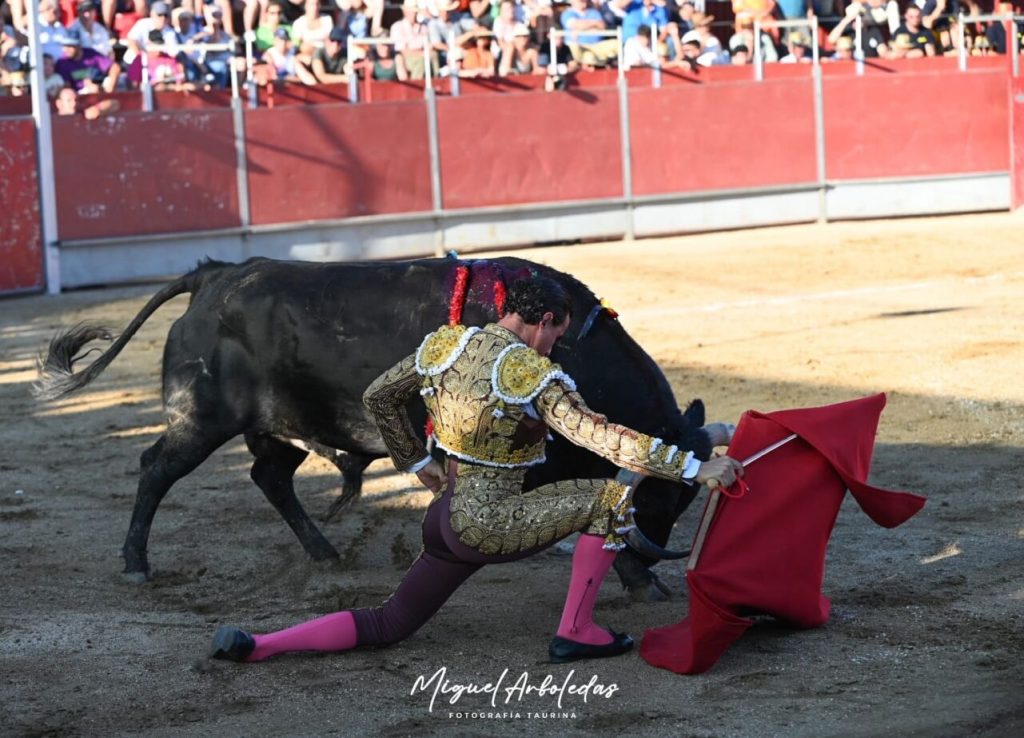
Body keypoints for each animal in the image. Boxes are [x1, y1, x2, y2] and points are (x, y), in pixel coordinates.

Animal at [34, 255, 712, 597]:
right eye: (659, 497)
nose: (653, 560)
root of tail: (216, 273)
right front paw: (635, 578)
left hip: (282, 426)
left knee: (269, 476)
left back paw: (325, 553)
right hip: (200, 421)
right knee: (156, 469)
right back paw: (135, 563)